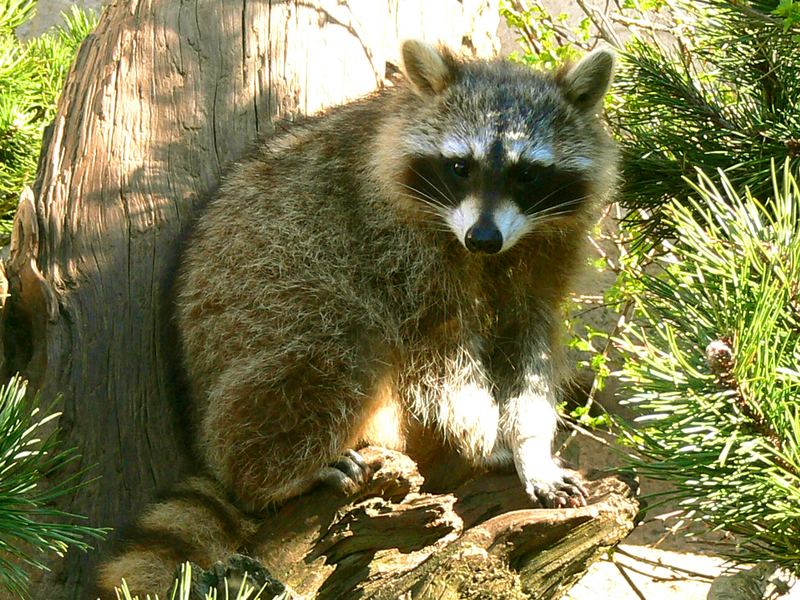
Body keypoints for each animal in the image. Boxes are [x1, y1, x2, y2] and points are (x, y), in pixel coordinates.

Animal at [97, 41, 616, 596]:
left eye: (527, 173)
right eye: (460, 166)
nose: (482, 238)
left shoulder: (544, 257)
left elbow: (527, 349)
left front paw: (530, 446)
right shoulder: (395, 247)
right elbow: (441, 363)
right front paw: (485, 442)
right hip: (258, 315)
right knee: (338, 346)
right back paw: (270, 476)